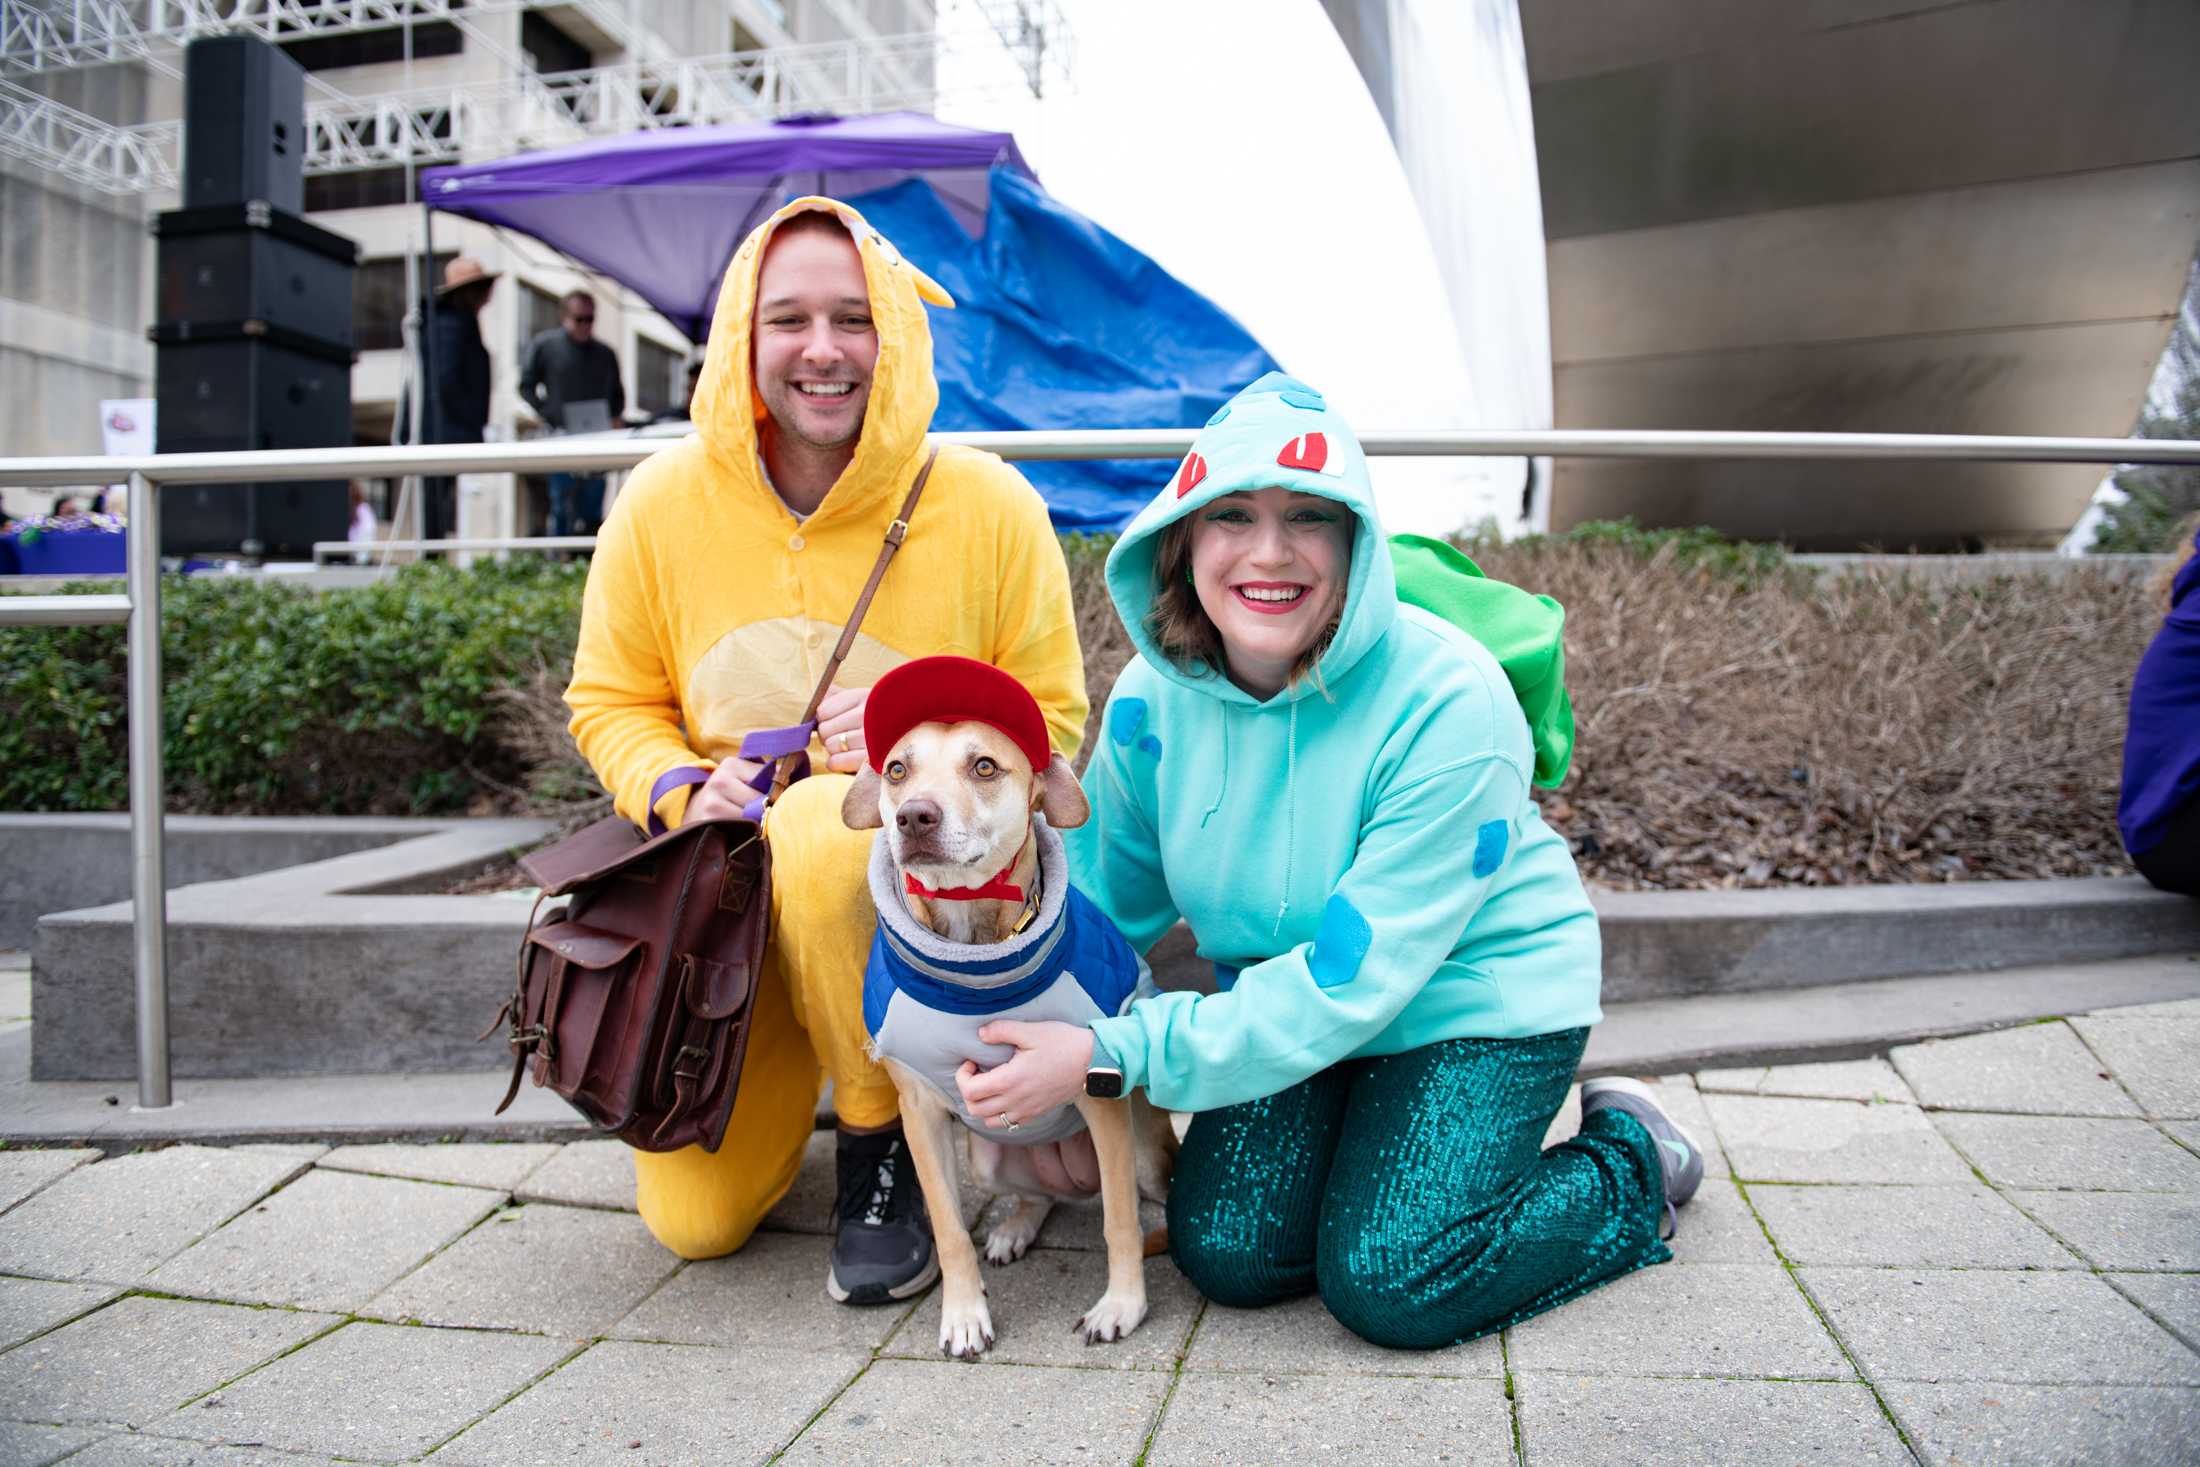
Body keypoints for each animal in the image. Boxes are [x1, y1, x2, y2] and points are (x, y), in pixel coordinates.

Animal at [840, 659, 1179, 1363]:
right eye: (897, 769)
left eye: (984, 766)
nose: (913, 817)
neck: (972, 958)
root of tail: (1071, 1175)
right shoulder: (920, 1117)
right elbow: (949, 1231)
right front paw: (964, 1316)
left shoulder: (1102, 1102)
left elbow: (1120, 1223)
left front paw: (1122, 1306)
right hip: (987, 1158)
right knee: (1036, 1196)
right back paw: (1016, 1228)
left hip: (1140, 1151)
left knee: (1129, 1200)